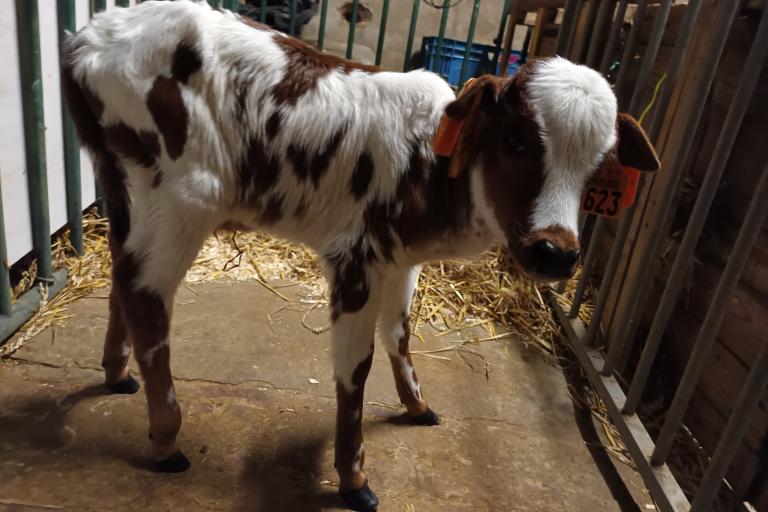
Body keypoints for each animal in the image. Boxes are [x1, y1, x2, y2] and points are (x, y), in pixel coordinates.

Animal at [61, 2, 660, 510]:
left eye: (602, 167)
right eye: (513, 138)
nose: (555, 253)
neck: (431, 165)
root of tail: (88, 37)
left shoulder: (403, 260)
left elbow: (399, 334)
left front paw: (417, 405)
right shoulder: (356, 260)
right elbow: (354, 371)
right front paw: (354, 479)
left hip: (121, 181)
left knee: (120, 273)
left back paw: (116, 374)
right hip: (182, 197)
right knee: (146, 298)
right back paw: (166, 440)